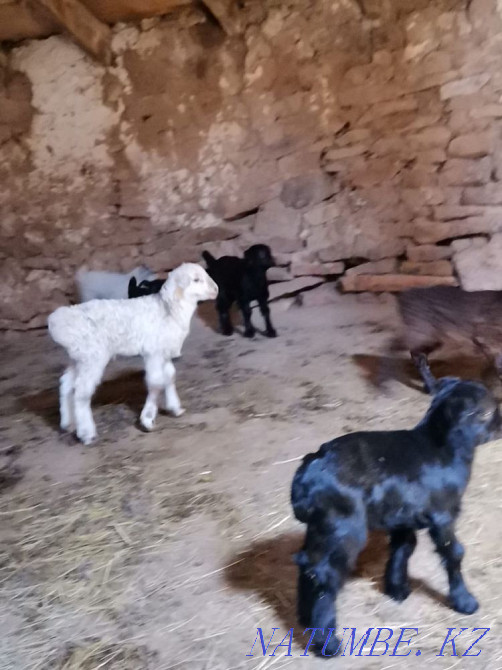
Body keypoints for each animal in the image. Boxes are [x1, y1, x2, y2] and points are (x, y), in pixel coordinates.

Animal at [48, 263, 218, 445]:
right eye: (196, 280)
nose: (216, 289)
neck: (169, 310)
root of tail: (59, 321)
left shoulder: (164, 351)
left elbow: (170, 376)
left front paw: (175, 407)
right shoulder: (153, 352)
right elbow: (156, 383)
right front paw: (147, 419)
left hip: (79, 357)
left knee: (66, 383)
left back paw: (68, 423)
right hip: (93, 357)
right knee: (81, 392)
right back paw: (86, 433)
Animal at [291, 376, 500, 656]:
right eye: (487, 412)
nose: (501, 425)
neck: (442, 449)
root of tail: (308, 473)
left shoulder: (403, 513)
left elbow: (403, 548)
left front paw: (397, 589)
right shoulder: (443, 515)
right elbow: (453, 553)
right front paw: (465, 602)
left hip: (321, 525)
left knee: (307, 563)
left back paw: (305, 618)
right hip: (343, 526)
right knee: (325, 573)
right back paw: (328, 643)